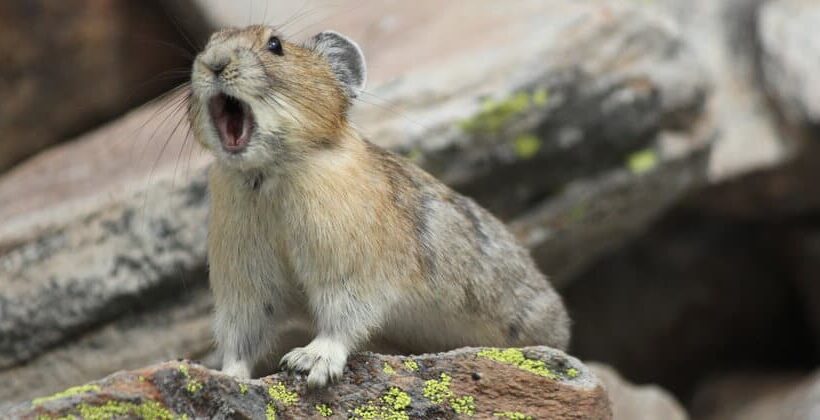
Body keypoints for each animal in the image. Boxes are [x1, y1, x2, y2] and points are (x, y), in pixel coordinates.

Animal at [188, 25, 570, 388]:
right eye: (207, 43)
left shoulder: (352, 262)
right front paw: (226, 376)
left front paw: (310, 361)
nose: (215, 62)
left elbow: (344, 314)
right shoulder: (243, 279)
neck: (267, 179)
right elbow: (242, 330)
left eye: (275, 45)